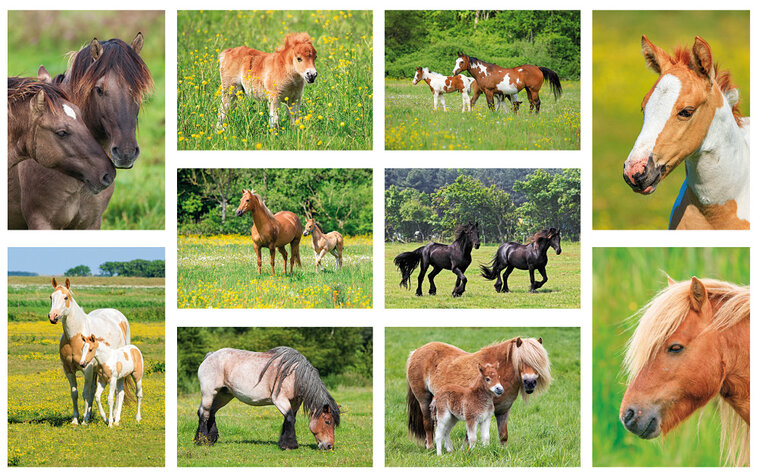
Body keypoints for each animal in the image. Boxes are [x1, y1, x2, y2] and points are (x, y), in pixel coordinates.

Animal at [48, 278, 131, 425]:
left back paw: (115, 417)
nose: (53, 316)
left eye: (65, 297)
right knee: (95, 390)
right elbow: (75, 393)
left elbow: (85, 393)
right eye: (51, 297)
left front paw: (85, 420)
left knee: (117, 391)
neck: (74, 338)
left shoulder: (87, 369)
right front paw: (75, 419)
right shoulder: (68, 369)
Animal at [194, 347, 340, 450]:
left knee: (211, 412)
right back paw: (202, 441)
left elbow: (289, 419)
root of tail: (211, 355)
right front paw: (290, 445)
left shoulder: (294, 403)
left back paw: (210, 439)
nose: (329, 446)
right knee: (204, 413)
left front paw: (283, 443)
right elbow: (290, 419)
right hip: (209, 393)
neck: (294, 375)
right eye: (327, 421)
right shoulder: (280, 400)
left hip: (224, 395)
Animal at [407, 337, 552, 449]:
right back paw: (430, 447)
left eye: (538, 363)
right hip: (424, 400)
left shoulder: (503, 411)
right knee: (428, 423)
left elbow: (503, 435)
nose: (530, 382)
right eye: (521, 360)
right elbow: (469, 435)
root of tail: (415, 352)